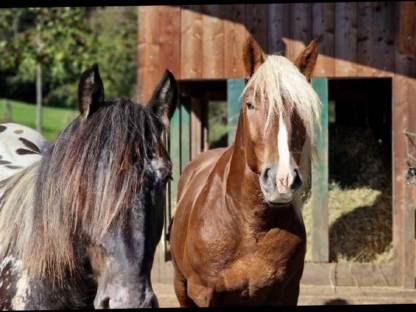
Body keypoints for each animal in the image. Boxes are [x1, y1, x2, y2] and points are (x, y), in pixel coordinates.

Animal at [171, 39, 320, 308]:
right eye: (250, 104)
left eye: (301, 109)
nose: (282, 180)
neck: (250, 228)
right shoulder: (203, 293)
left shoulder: (287, 292)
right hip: (181, 285)